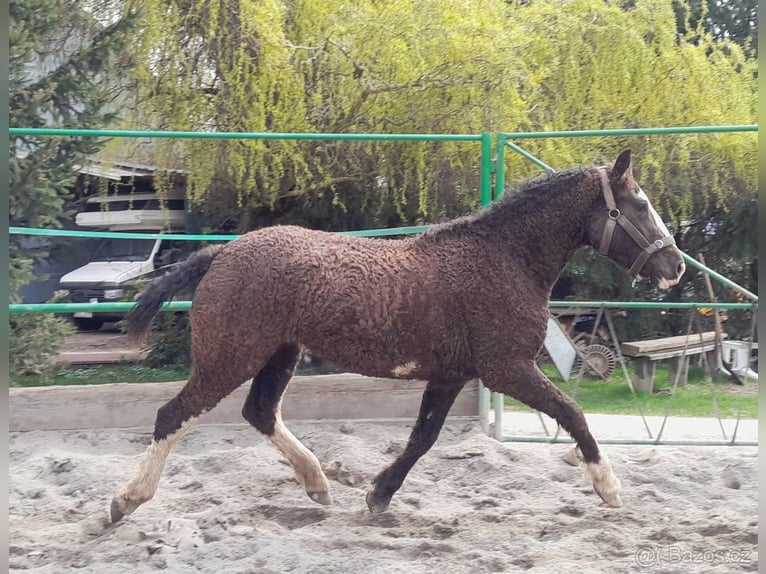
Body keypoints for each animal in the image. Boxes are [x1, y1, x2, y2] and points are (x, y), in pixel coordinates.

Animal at [108, 151, 684, 524]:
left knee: (260, 412)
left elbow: (422, 438)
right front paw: (609, 488)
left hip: (278, 354)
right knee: (174, 414)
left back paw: (318, 485)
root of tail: (220, 253)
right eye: (638, 204)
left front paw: (378, 495)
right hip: (230, 356)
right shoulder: (507, 368)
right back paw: (125, 501)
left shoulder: (452, 375)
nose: (675, 266)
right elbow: (572, 413)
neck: (504, 259)